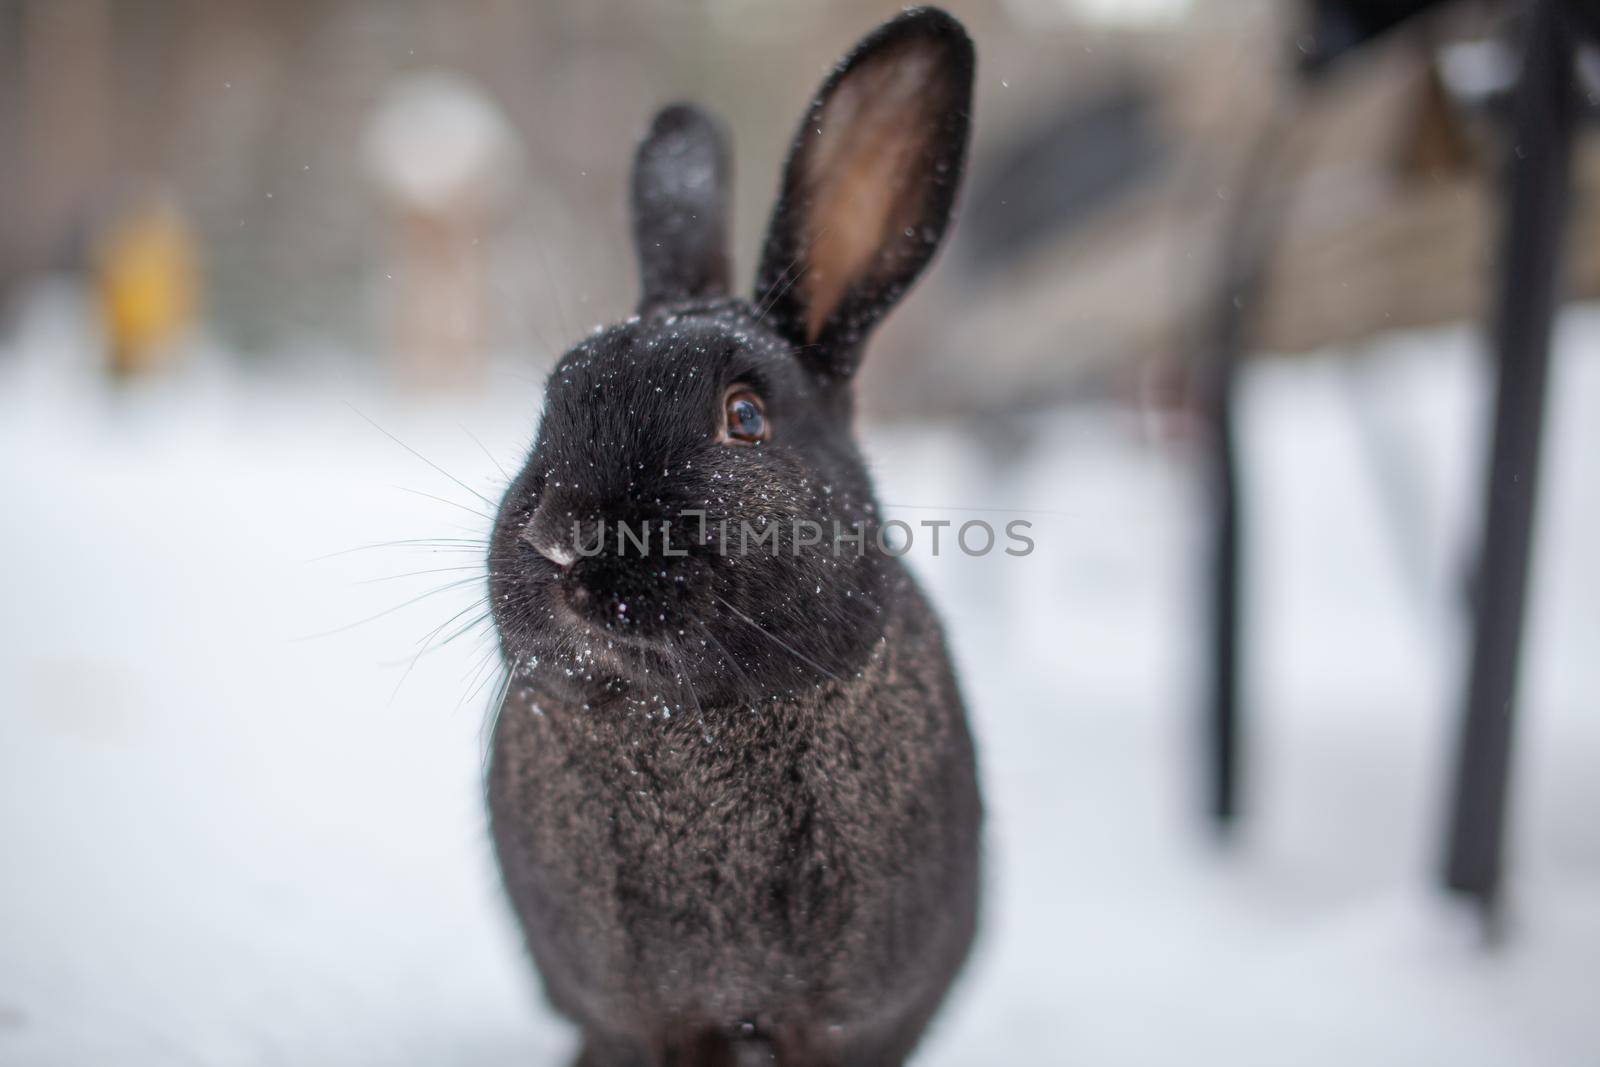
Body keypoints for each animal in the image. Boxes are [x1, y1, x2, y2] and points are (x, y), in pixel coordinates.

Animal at [486, 10, 979, 1067]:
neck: (688, 726)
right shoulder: (643, 1020)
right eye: (556, 393)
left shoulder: (846, 1025)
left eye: (745, 418)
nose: (559, 534)